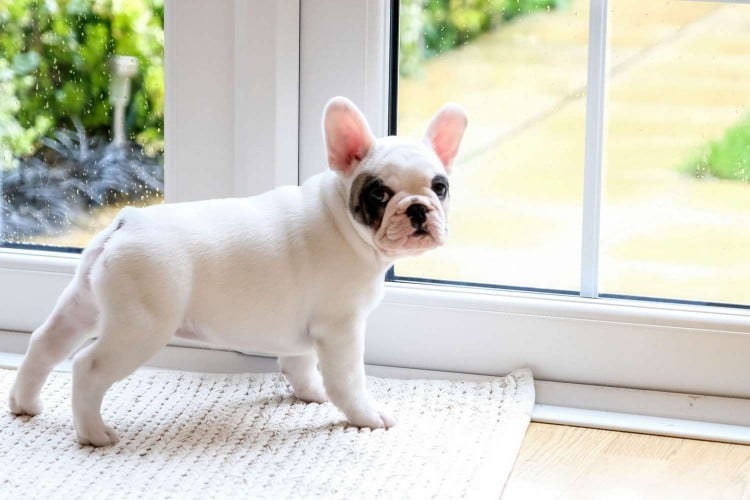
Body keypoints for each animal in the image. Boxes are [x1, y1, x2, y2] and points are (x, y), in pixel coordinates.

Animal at [8, 96, 468, 446]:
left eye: (440, 187)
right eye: (378, 194)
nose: (418, 208)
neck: (343, 218)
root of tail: (126, 223)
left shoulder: (303, 330)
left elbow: (300, 364)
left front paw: (310, 394)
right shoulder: (341, 328)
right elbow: (348, 380)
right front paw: (366, 416)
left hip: (84, 303)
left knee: (45, 343)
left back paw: (24, 403)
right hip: (139, 328)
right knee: (87, 367)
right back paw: (94, 434)